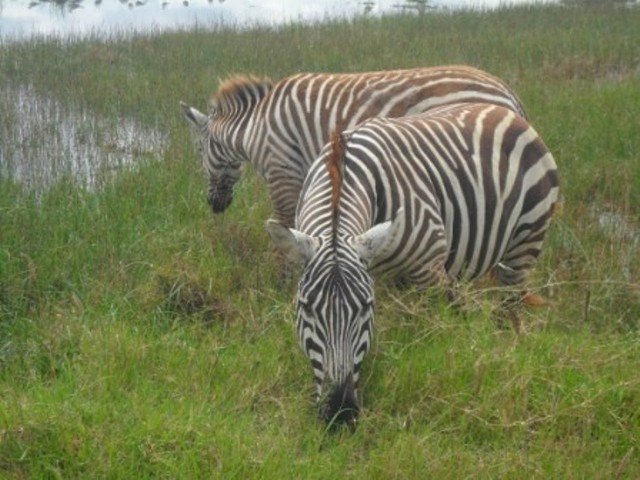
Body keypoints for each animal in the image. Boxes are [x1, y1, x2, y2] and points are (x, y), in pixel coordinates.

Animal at [179, 65, 524, 229]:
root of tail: (506, 90)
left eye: (199, 152)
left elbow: (284, 224)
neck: (257, 125)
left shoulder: (281, 168)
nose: (213, 205)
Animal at [264, 103, 560, 426]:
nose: (340, 413)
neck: (342, 171)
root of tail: (503, 111)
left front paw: (442, 368)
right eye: (305, 308)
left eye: (366, 307)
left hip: (523, 246)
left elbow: (438, 333)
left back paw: (507, 350)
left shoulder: (429, 270)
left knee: (509, 309)